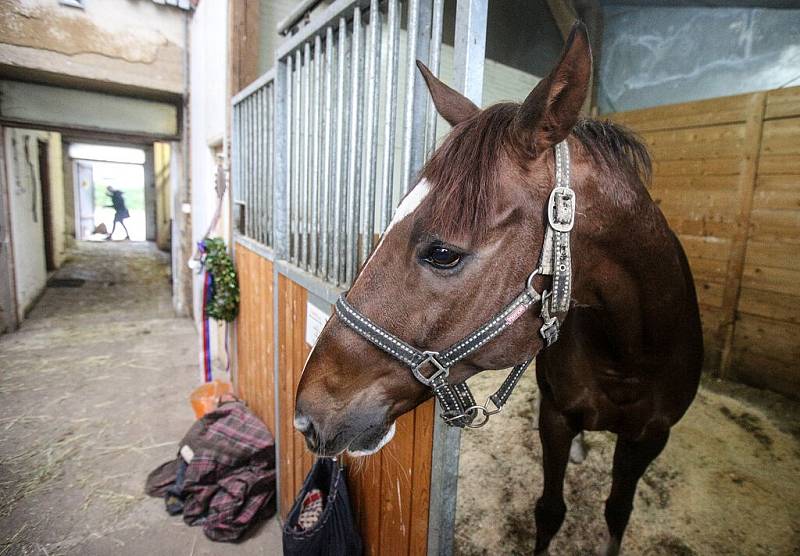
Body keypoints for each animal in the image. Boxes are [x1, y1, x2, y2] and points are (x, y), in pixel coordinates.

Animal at [294, 22, 700, 556]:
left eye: (443, 253)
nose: (306, 416)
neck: (630, 353)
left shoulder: (651, 437)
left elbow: (617, 511)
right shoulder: (556, 417)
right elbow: (549, 511)